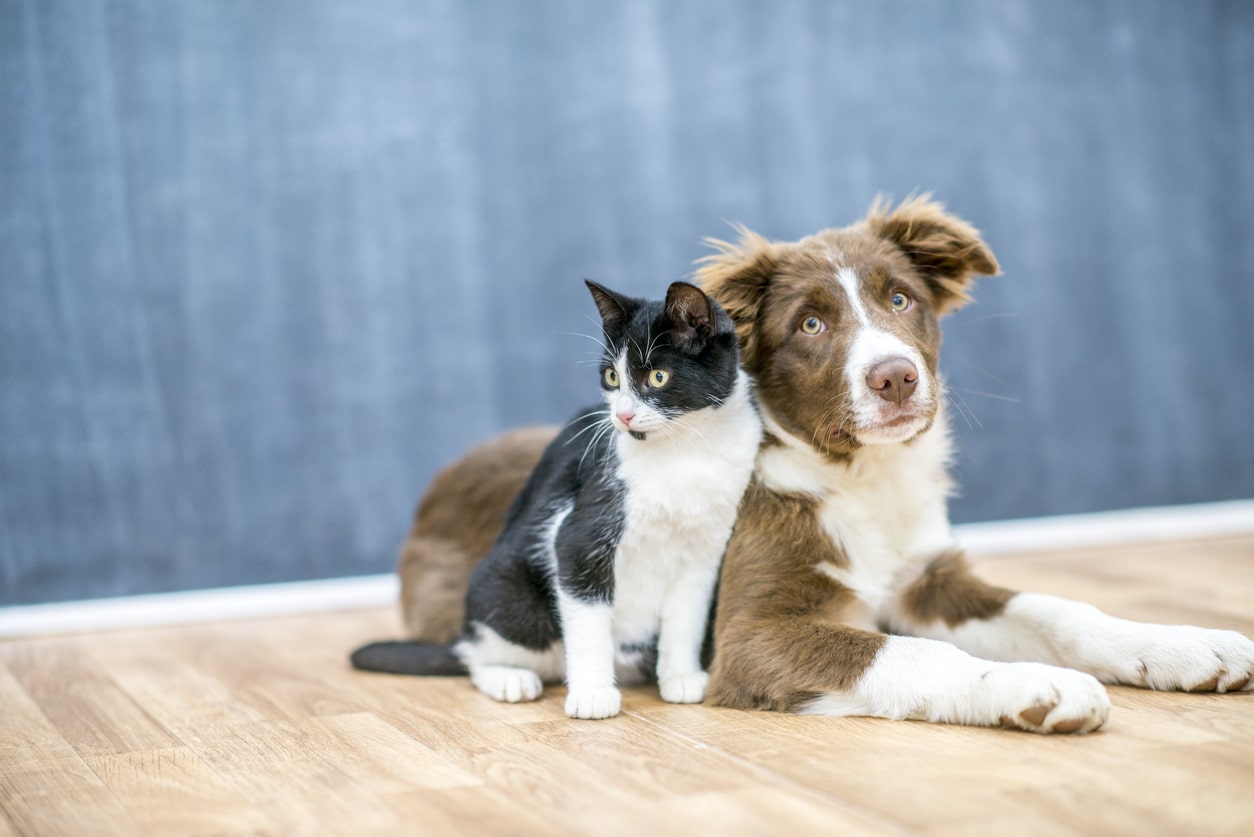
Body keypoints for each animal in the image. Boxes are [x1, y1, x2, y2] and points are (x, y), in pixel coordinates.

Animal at [353, 279, 762, 722]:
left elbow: (686, 616)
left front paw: (681, 677)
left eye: (658, 376)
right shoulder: (578, 536)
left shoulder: (705, 551)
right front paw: (593, 694)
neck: (685, 451)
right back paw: (509, 678)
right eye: (612, 376)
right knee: (475, 654)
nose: (622, 416)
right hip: (510, 596)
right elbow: (587, 620)